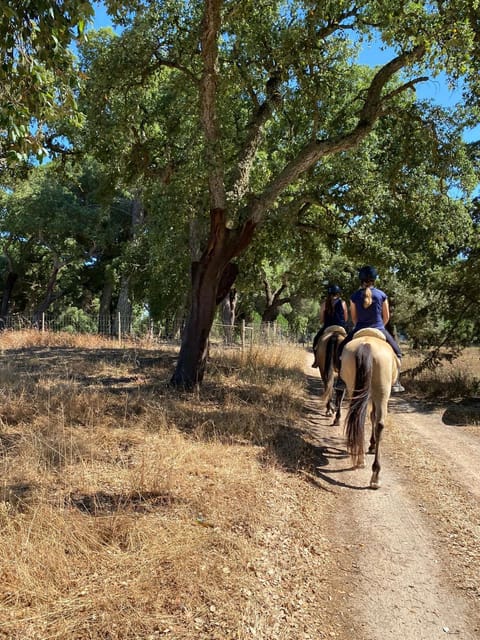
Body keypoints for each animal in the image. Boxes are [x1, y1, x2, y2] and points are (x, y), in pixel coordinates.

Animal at [340, 328, 400, 488]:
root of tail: (367, 345)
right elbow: (373, 417)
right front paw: (372, 445)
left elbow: (372, 416)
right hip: (381, 392)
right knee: (376, 423)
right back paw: (374, 474)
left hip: (357, 389)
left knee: (361, 419)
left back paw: (363, 462)